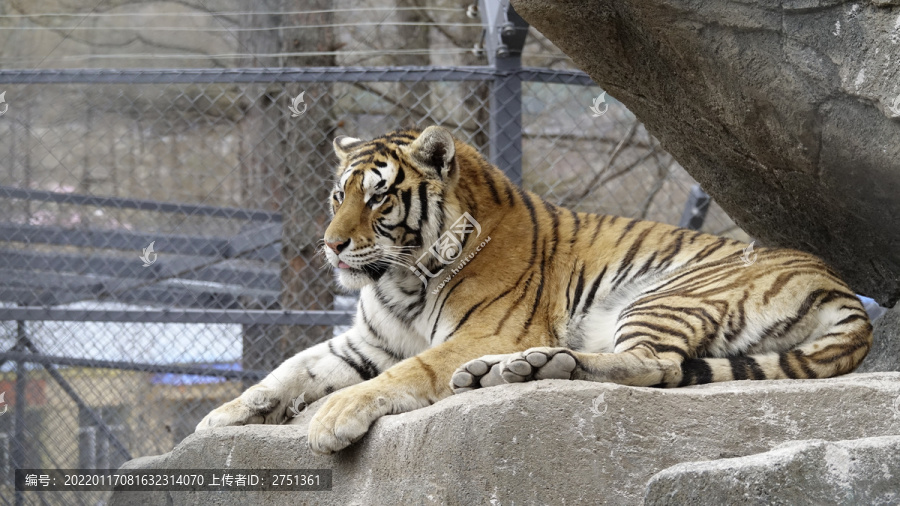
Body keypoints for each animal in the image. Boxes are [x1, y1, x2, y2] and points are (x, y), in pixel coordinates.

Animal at [195, 123, 872, 454]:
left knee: (656, 366)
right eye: (340, 195)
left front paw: (333, 418)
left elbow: (409, 372)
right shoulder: (363, 343)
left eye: (380, 197)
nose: (331, 245)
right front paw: (220, 416)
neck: (403, 279)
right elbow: (290, 368)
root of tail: (839, 286)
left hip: (664, 293)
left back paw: (522, 368)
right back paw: (512, 372)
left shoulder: (481, 330)